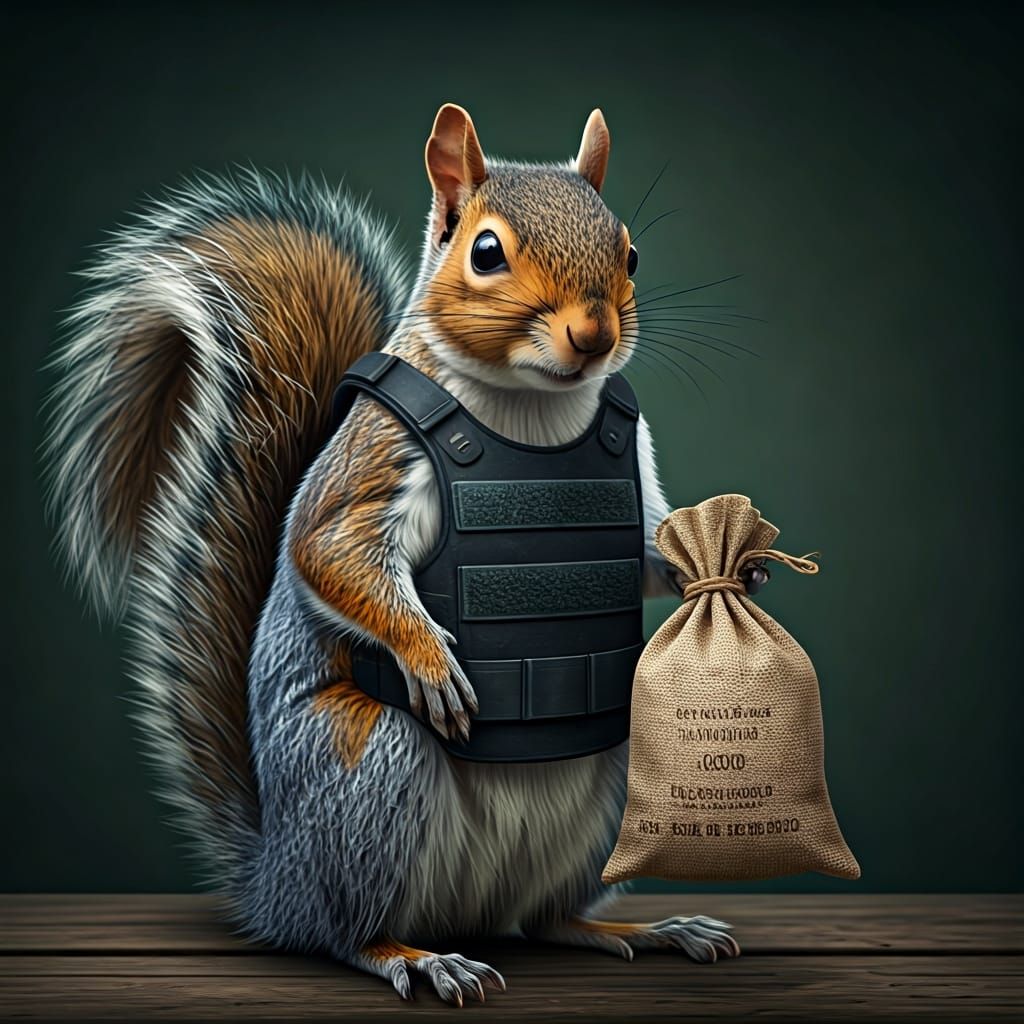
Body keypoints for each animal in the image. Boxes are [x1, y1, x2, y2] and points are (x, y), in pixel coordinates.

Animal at [44, 104, 739, 1005]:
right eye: (485, 252)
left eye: (628, 253)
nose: (593, 335)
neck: (531, 409)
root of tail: (277, 883)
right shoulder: (373, 460)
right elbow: (329, 550)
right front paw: (430, 659)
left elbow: (652, 547)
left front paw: (728, 557)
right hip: (374, 772)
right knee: (344, 931)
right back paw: (417, 957)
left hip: (619, 768)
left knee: (546, 918)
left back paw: (641, 930)